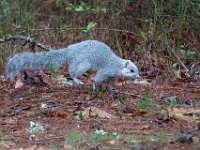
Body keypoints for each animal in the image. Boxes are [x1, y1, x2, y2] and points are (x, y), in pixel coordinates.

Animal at [5, 39, 138, 89]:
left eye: (137, 70)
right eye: (132, 70)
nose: (137, 77)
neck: (118, 65)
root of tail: (68, 51)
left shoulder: (112, 75)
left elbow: (111, 81)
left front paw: (115, 86)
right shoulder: (107, 70)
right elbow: (98, 78)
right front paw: (95, 85)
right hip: (83, 63)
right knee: (72, 71)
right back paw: (78, 80)